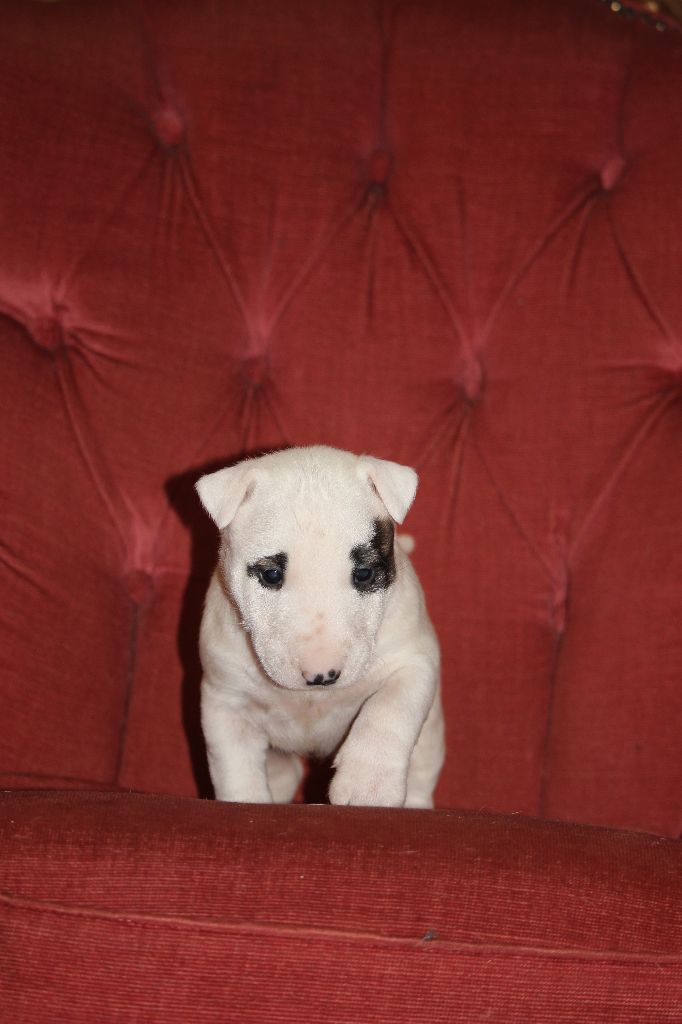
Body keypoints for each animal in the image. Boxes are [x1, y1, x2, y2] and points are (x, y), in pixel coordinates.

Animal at [195, 445, 444, 808]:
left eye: (364, 574)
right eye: (271, 575)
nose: (322, 676)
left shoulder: (412, 660)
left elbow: (388, 710)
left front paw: (367, 786)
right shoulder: (225, 697)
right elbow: (235, 766)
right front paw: (245, 802)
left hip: (432, 734)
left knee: (423, 771)